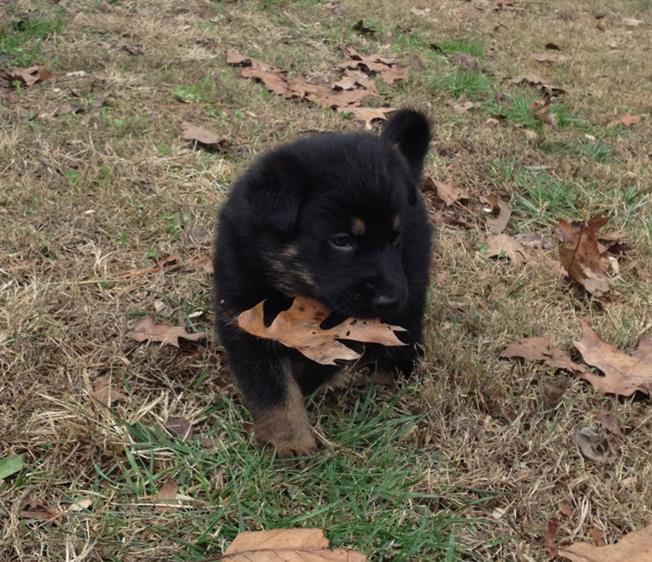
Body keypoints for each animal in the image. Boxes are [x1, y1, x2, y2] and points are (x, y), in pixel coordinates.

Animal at [213, 109, 432, 456]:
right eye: (341, 240)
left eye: (395, 237)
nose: (391, 300)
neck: (295, 289)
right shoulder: (242, 314)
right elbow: (272, 386)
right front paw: (290, 440)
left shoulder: (352, 326)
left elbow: (321, 365)